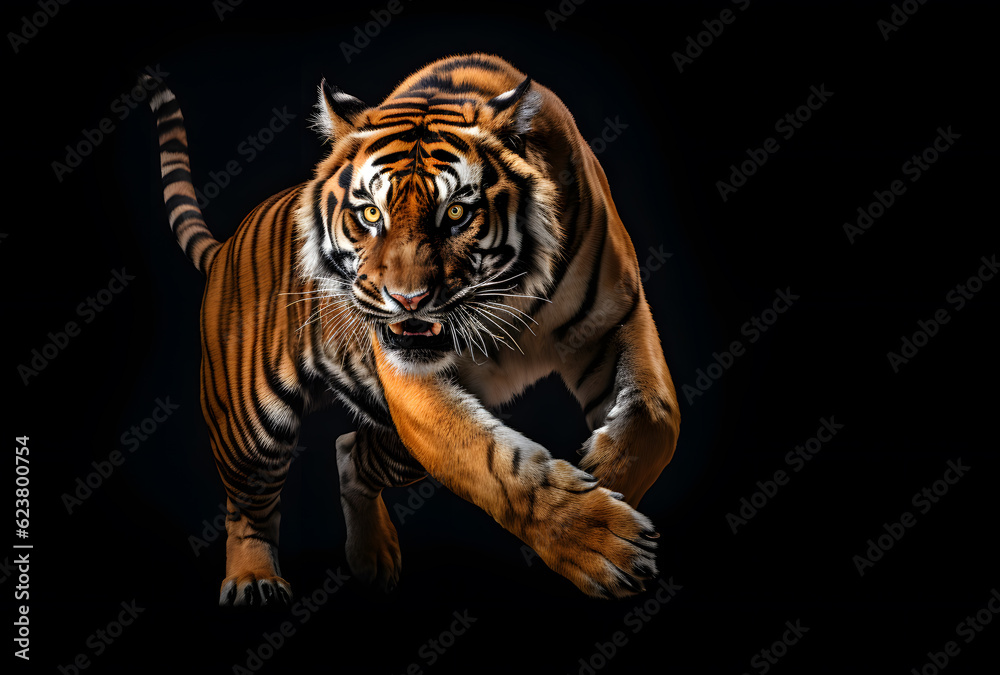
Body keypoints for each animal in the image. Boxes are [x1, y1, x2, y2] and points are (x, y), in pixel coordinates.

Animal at [144, 53, 680, 606]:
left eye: (457, 212)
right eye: (370, 213)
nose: (407, 300)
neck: (512, 297)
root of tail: (224, 248)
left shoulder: (618, 317)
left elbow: (655, 415)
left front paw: (605, 478)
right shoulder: (412, 384)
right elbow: (495, 464)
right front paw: (601, 542)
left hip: (398, 448)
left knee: (349, 450)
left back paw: (372, 561)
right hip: (252, 428)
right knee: (248, 507)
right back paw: (254, 579)